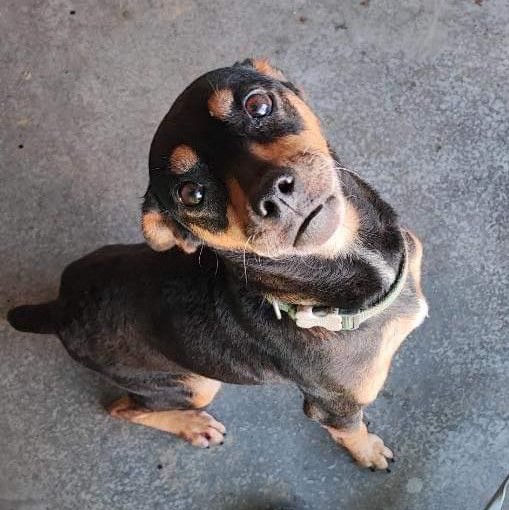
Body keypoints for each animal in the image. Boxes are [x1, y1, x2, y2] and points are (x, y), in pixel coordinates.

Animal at [8, 58, 428, 470]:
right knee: (122, 408)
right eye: (191, 194)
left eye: (258, 105)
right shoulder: (334, 408)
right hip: (195, 385)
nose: (275, 193)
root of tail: (58, 310)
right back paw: (194, 427)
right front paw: (368, 452)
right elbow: (352, 431)